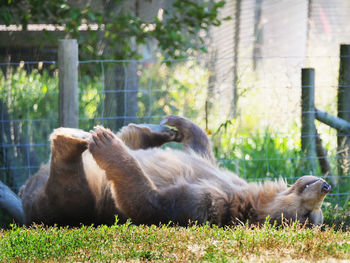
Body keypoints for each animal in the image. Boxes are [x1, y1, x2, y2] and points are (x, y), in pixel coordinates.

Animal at [8, 115, 332, 227]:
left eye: (308, 217)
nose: (325, 186)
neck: (253, 197)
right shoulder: (222, 177)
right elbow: (202, 149)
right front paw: (179, 124)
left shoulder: (205, 202)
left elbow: (146, 200)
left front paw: (106, 143)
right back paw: (152, 131)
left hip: (72, 202)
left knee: (69, 187)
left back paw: (75, 139)